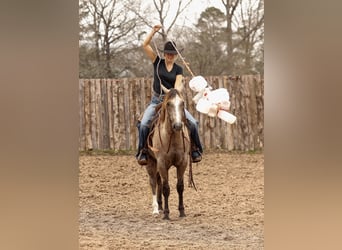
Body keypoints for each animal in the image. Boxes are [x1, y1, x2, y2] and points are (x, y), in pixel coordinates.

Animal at [145, 88, 191, 221]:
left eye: (182, 103)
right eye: (169, 104)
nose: (178, 125)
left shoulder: (183, 162)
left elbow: (180, 186)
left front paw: (182, 211)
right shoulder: (162, 163)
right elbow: (166, 188)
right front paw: (166, 213)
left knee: (158, 181)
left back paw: (160, 206)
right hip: (150, 162)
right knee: (153, 182)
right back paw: (156, 210)